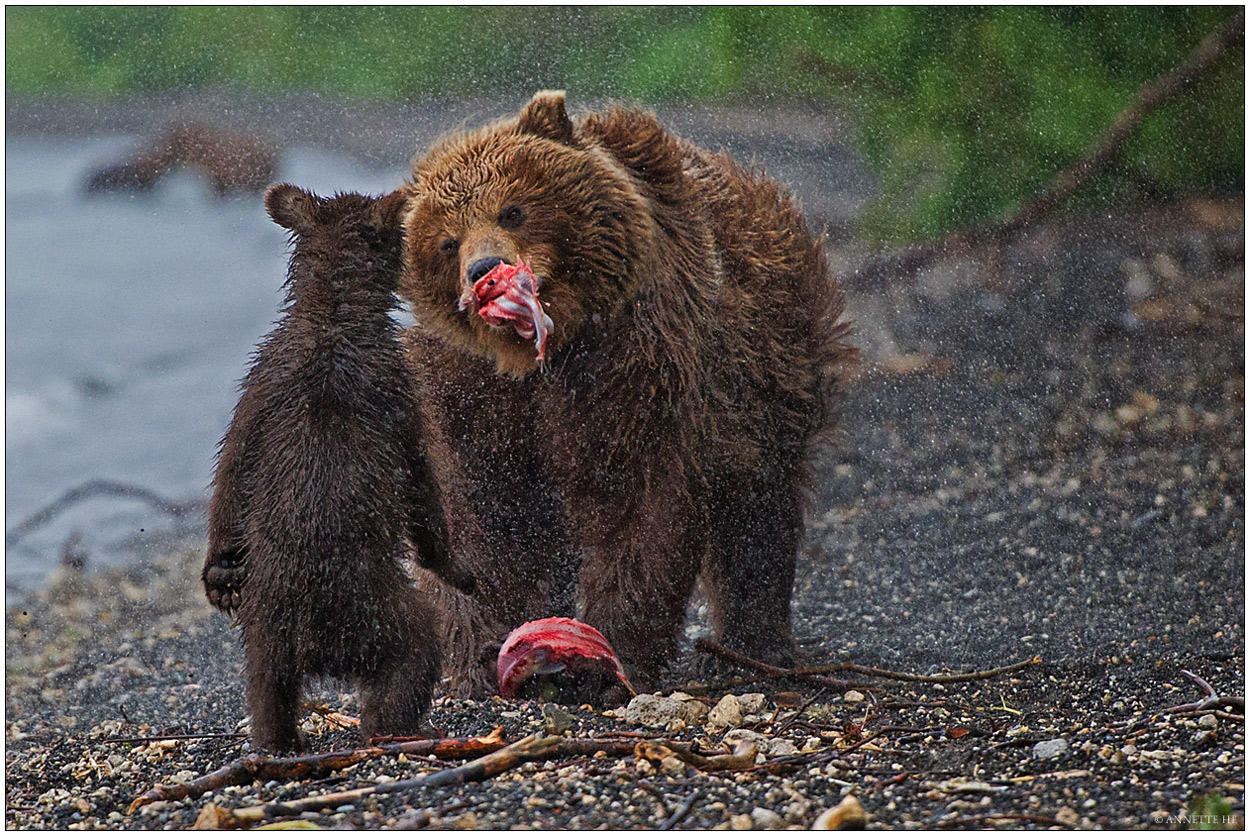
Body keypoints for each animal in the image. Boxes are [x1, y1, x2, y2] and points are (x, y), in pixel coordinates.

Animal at [405, 91, 855, 694]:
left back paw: (749, 645)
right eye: (446, 240)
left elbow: (636, 497)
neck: (545, 357)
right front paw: (474, 654)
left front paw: (612, 655)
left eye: (513, 209)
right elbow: (479, 507)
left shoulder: (636, 362)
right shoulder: (473, 394)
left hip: (767, 376)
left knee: (757, 509)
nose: (486, 269)